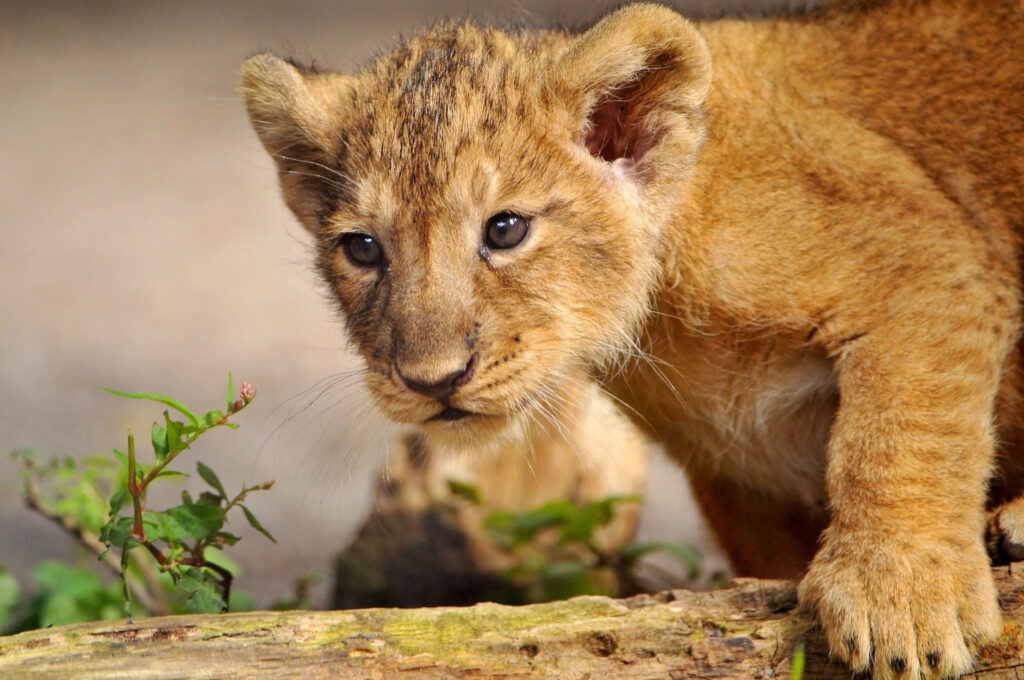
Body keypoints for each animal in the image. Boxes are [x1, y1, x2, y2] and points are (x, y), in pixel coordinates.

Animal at [240, 1, 1024, 677]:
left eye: (505, 229)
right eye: (363, 249)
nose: (432, 380)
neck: (663, 316)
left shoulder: (928, 253)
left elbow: (900, 429)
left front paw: (902, 600)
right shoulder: (739, 474)